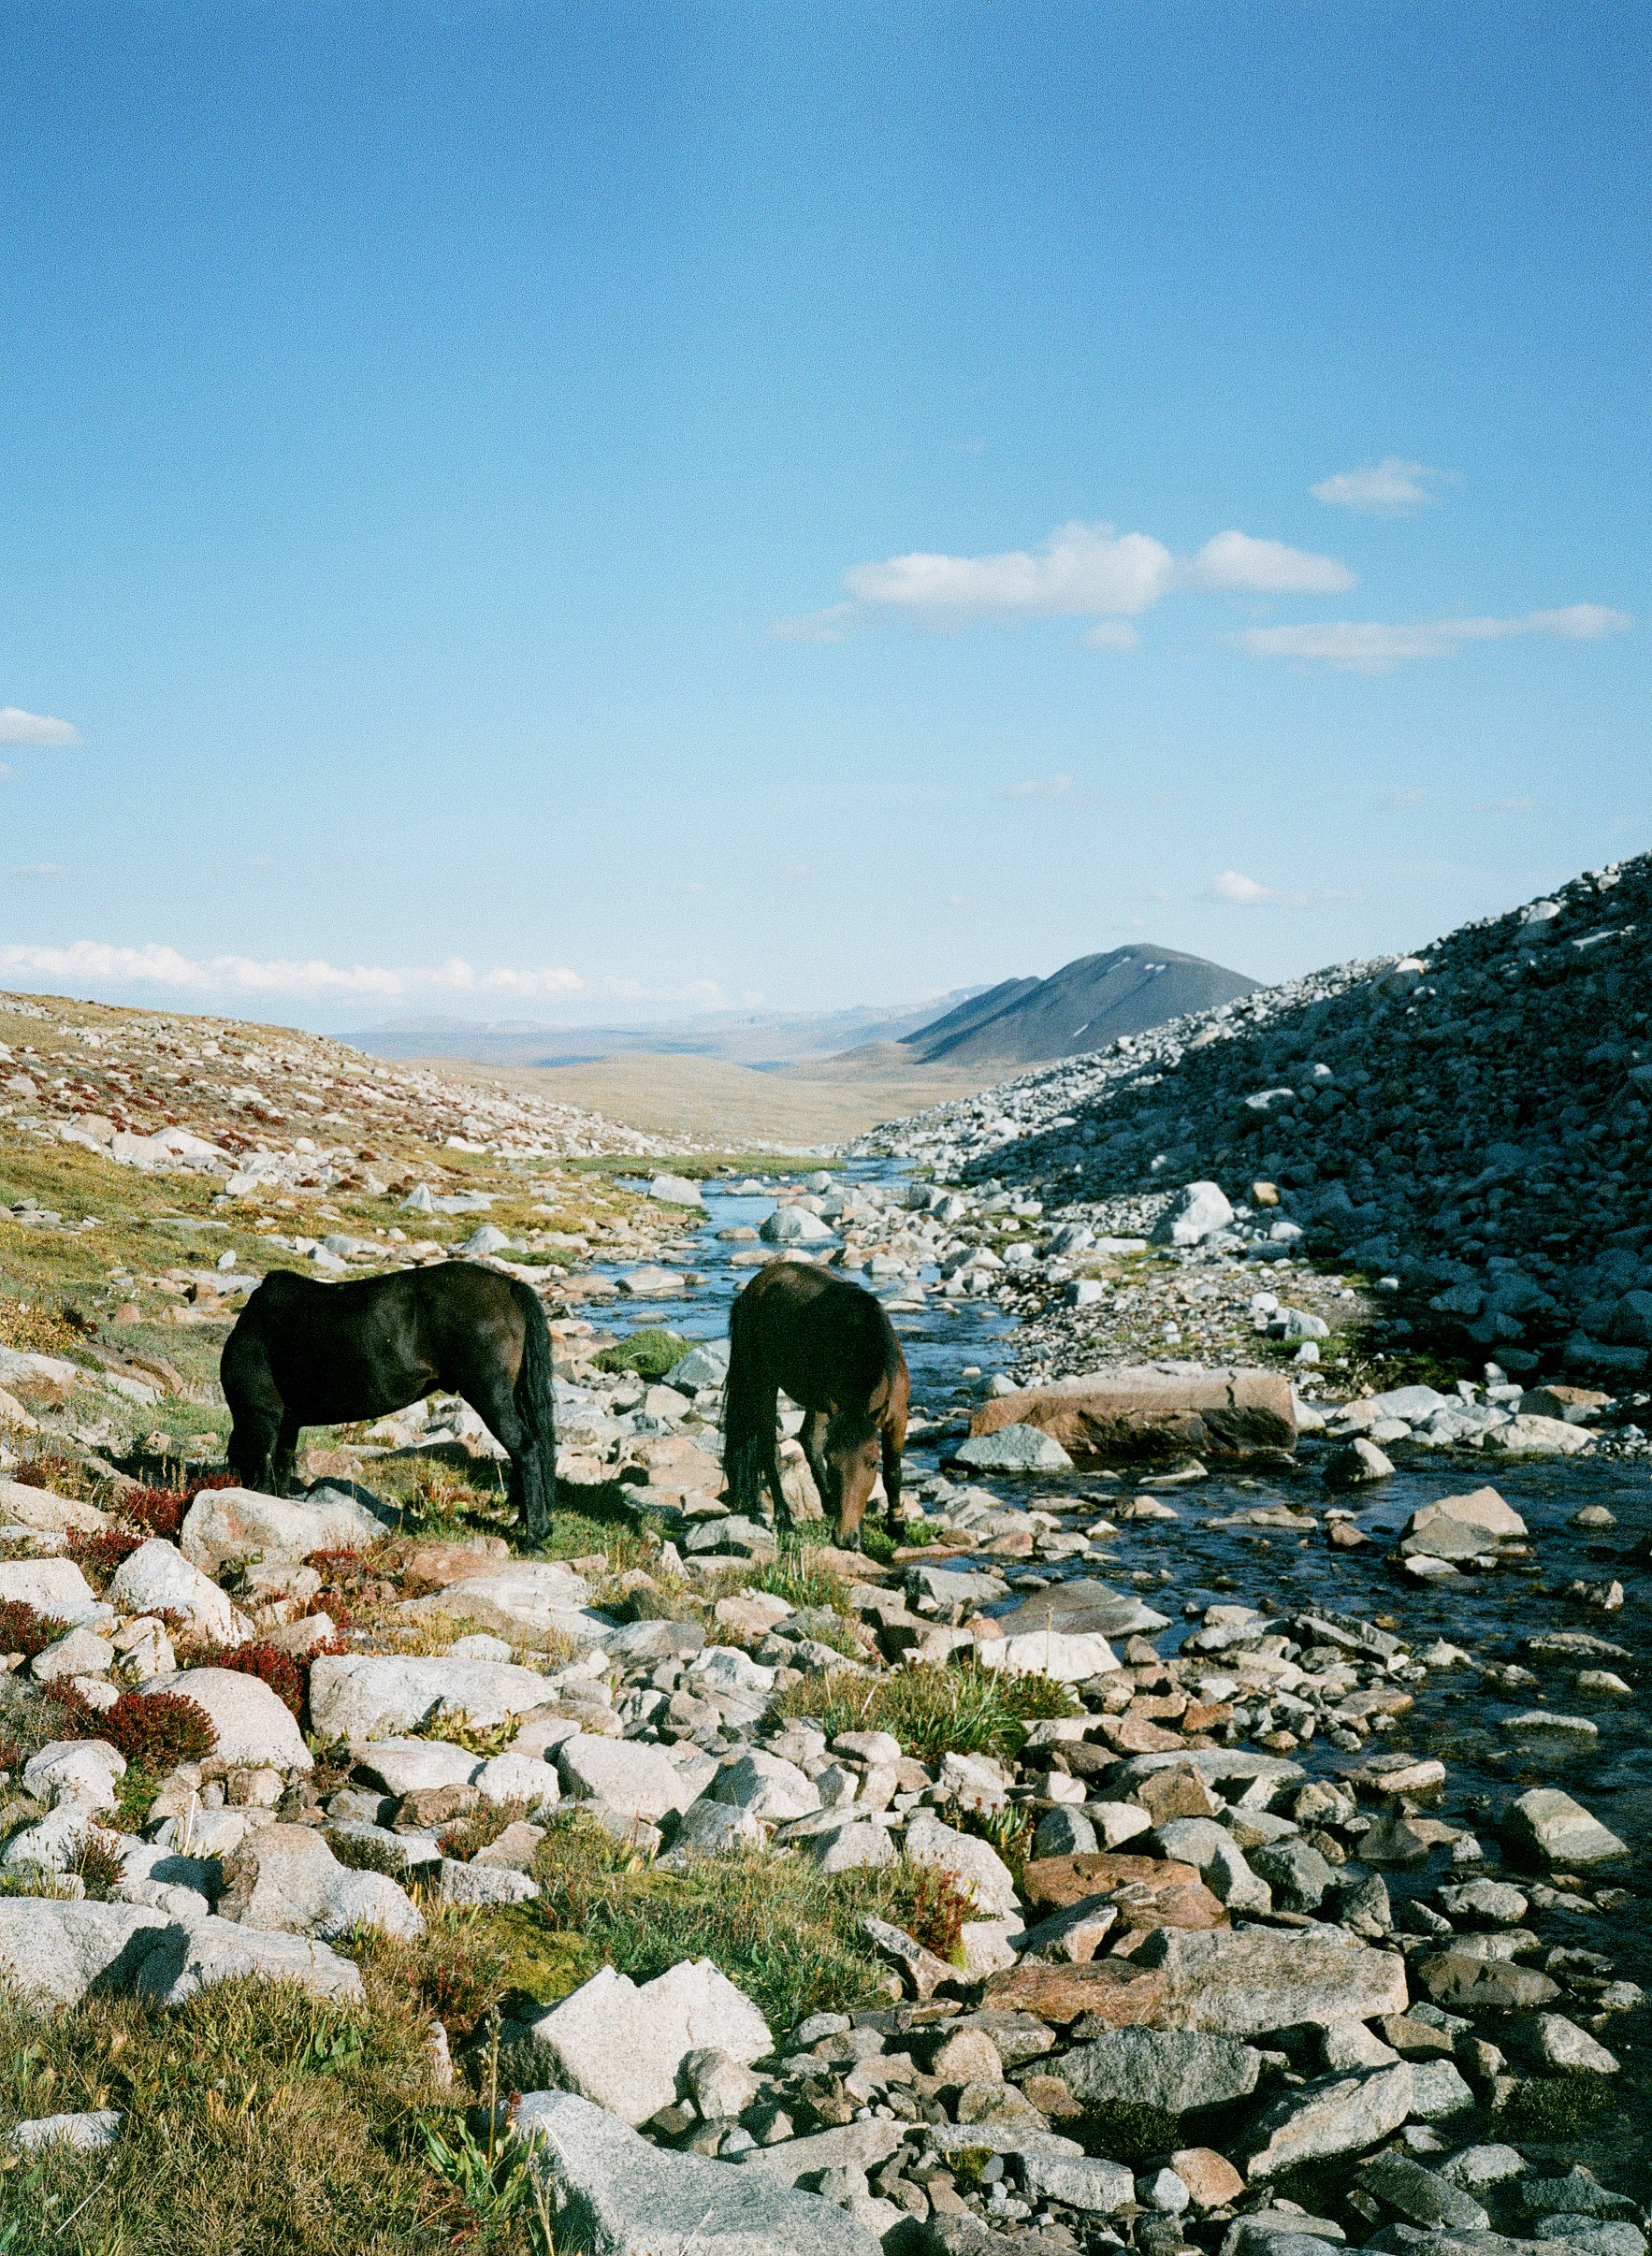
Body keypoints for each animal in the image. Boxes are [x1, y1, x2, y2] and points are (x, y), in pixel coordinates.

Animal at [220, 1261, 558, 1543]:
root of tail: (508, 1286)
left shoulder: (262, 1415)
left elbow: (264, 1476)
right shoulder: (287, 1423)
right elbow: (281, 1467)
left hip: (490, 1395)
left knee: (525, 1449)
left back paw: (533, 1534)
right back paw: (524, 1522)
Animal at [722, 1259, 909, 1548]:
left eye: (871, 1463)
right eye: (832, 1462)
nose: (845, 1539)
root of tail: (754, 1286)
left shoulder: (896, 1416)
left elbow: (892, 1473)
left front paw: (897, 1527)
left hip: (816, 1401)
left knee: (809, 1439)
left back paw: (828, 1504)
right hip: (763, 1381)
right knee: (768, 1448)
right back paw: (785, 1517)